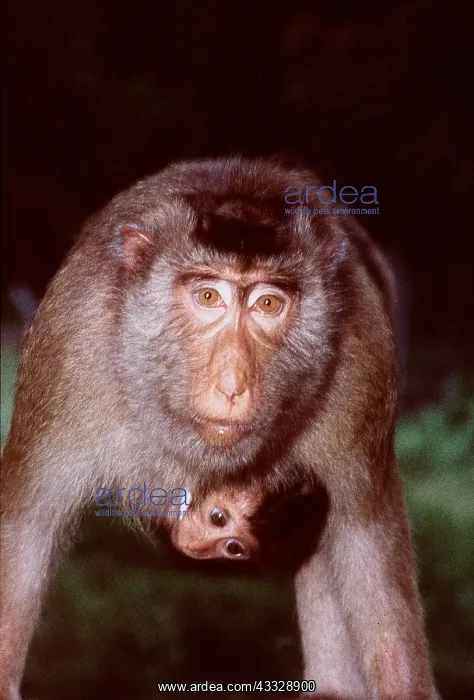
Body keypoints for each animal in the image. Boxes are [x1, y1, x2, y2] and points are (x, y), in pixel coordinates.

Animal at [0, 156, 437, 699]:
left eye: (268, 304)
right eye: (208, 296)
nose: (232, 386)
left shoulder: (361, 365)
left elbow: (364, 541)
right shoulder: (69, 347)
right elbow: (24, 530)